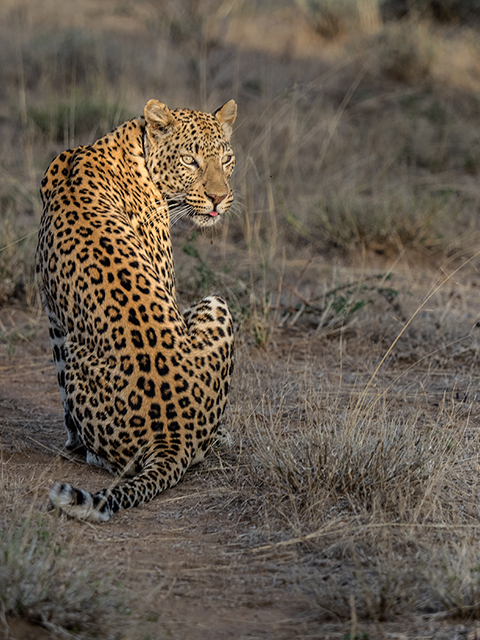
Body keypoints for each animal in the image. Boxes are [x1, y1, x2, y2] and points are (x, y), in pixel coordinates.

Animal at [34, 99, 237, 520]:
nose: (218, 199)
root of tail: (173, 436)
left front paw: (72, 441)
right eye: (190, 160)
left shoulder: (54, 315)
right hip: (216, 303)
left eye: (226, 160)